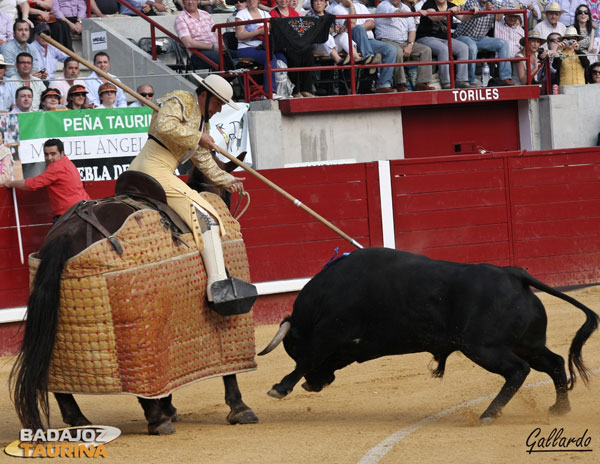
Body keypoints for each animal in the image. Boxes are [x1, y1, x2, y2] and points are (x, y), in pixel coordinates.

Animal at [258, 250, 600, 424]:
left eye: (291, 347)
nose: (314, 385)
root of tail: (514, 273)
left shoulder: (330, 331)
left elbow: (308, 356)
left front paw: (280, 388)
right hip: (527, 344)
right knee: (554, 362)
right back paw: (559, 408)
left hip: (484, 348)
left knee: (518, 370)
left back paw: (488, 414)